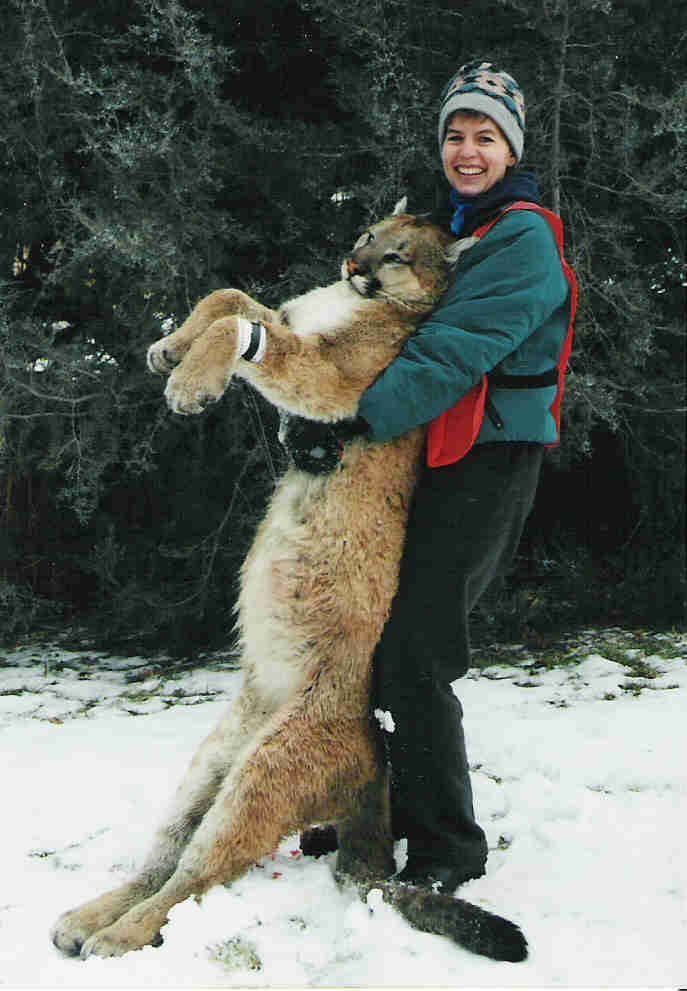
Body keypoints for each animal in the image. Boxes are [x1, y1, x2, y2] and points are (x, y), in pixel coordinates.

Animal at [50, 201, 527, 963]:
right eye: (367, 236)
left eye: (397, 256)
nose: (353, 263)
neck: (356, 301)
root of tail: (374, 764)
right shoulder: (289, 317)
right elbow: (230, 300)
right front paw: (169, 349)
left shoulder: (331, 374)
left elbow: (239, 326)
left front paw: (190, 383)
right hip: (210, 766)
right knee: (166, 859)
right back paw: (89, 918)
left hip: (262, 776)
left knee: (196, 874)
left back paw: (115, 936)